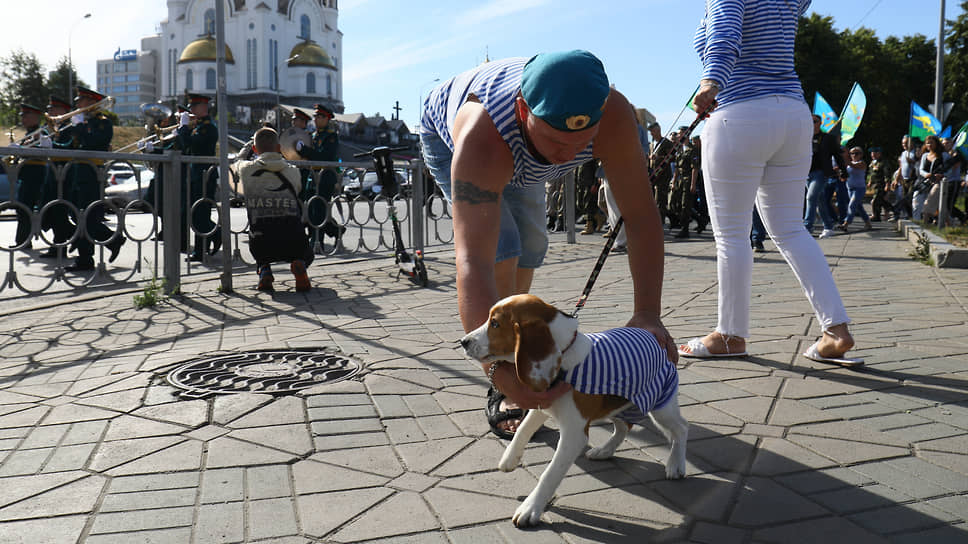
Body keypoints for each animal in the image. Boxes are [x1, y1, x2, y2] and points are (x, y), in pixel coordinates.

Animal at [462, 294, 688, 528]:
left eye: (495, 323)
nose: (463, 341)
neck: (564, 358)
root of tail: (651, 337)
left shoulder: (574, 433)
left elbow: (550, 473)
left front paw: (530, 508)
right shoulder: (543, 403)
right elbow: (523, 429)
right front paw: (509, 458)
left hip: (661, 406)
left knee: (681, 429)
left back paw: (675, 464)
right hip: (615, 405)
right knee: (624, 427)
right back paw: (604, 451)